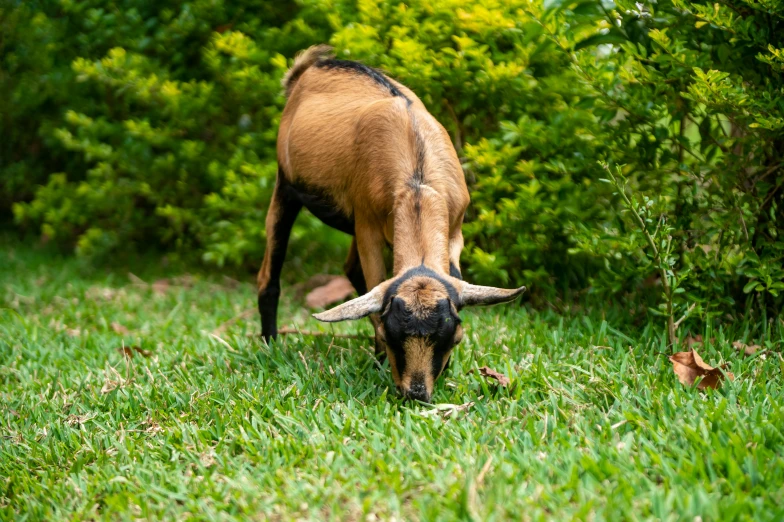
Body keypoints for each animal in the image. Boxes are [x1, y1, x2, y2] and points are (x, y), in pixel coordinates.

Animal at [258, 45, 528, 402]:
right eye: (390, 336)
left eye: (454, 337)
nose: (415, 393)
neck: (416, 171)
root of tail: (310, 66)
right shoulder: (368, 228)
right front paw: (379, 360)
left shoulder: (455, 229)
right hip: (286, 185)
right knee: (269, 274)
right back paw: (269, 343)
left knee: (349, 269)